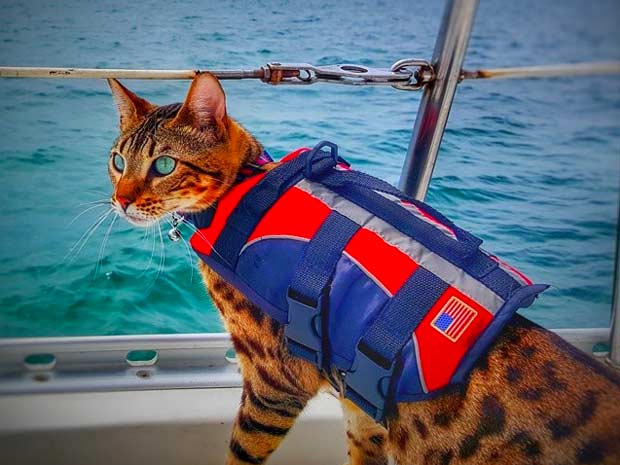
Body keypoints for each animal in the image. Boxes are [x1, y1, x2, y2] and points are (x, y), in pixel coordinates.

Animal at [106, 73, 620, 464]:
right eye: (117, 160)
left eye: (164, 165)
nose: (120, 199)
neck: (246, 185)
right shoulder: (361, 403)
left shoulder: (274, 384)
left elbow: (241, 453)